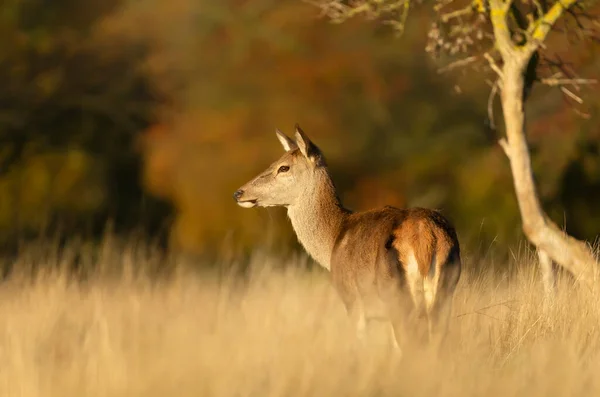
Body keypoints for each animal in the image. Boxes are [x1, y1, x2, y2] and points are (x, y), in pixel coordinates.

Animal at [232, 124, 462, 352]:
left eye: (284, 167)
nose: (239, 193)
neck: (334, 238)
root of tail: (427, 237)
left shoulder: (353, 301)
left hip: (396, 296)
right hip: (445, 292)